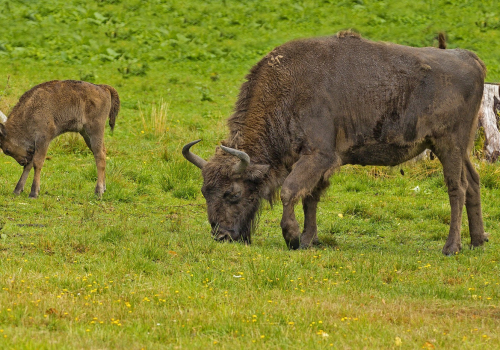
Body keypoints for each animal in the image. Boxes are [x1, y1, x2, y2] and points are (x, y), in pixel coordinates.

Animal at [184, 31, 488, 256]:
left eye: (232, 194)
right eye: (205, 192)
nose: (221, 236)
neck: (290, 86)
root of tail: (470, 58)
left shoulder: (318, 156)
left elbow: (290, 191)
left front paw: (292, 238)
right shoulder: (315, 162)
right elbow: (310, 198)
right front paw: (309, 240)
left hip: (448, 145)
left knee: (457, 187)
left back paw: (451, 247)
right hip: (460, 148)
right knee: (473, 182)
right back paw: (478, 241)